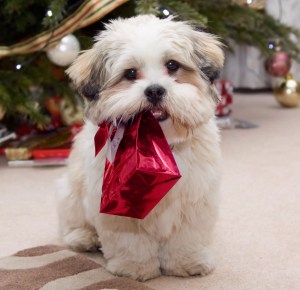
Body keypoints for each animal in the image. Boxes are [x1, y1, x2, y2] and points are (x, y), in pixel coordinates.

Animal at [57, 14, 224, 280]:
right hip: (70, 191)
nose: (155, 90)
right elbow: (130, 241)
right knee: (72, 220)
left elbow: (187, 238)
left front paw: (187, 262)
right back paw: (83, 237)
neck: (158, 146)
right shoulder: (117, 207)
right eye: (131, 73)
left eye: (172, 65)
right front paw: (134, 267)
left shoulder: (195, 200)